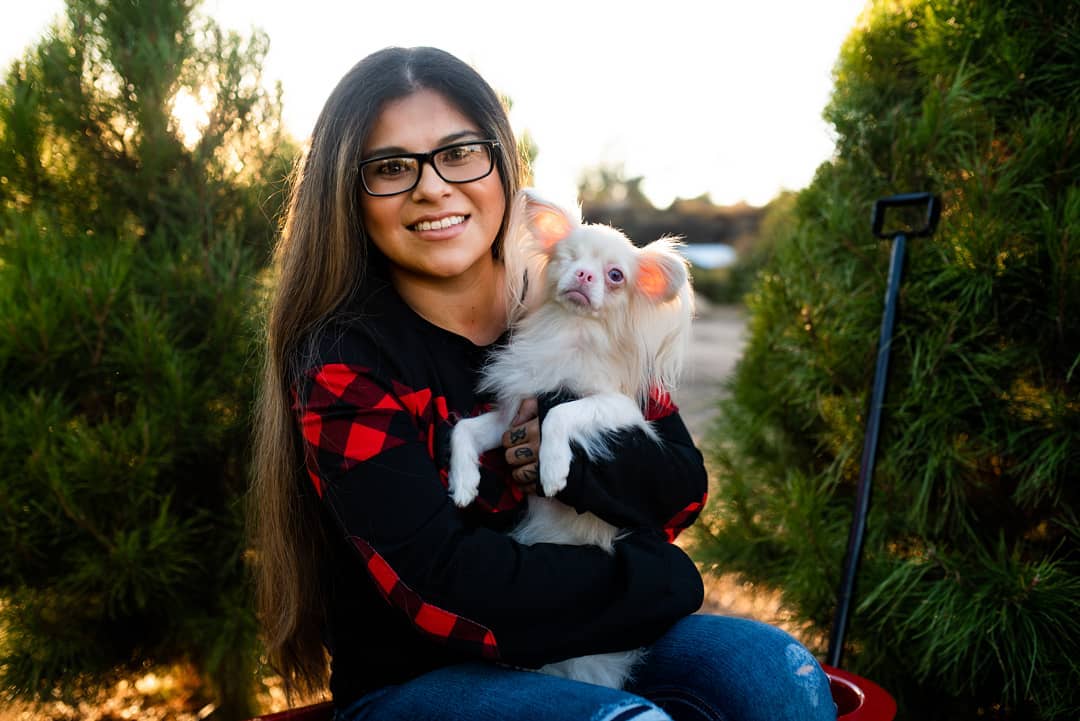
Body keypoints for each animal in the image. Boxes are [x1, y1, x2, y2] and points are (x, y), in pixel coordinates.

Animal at [447, 188, 691, 690]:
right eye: (567, 258)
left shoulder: (616, 408)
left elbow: (561, 411)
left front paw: (555, 470)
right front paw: (463, 483)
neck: (571, 332)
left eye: (616, 276)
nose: (583, 274)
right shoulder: (510, 415)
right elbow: (463, 428)